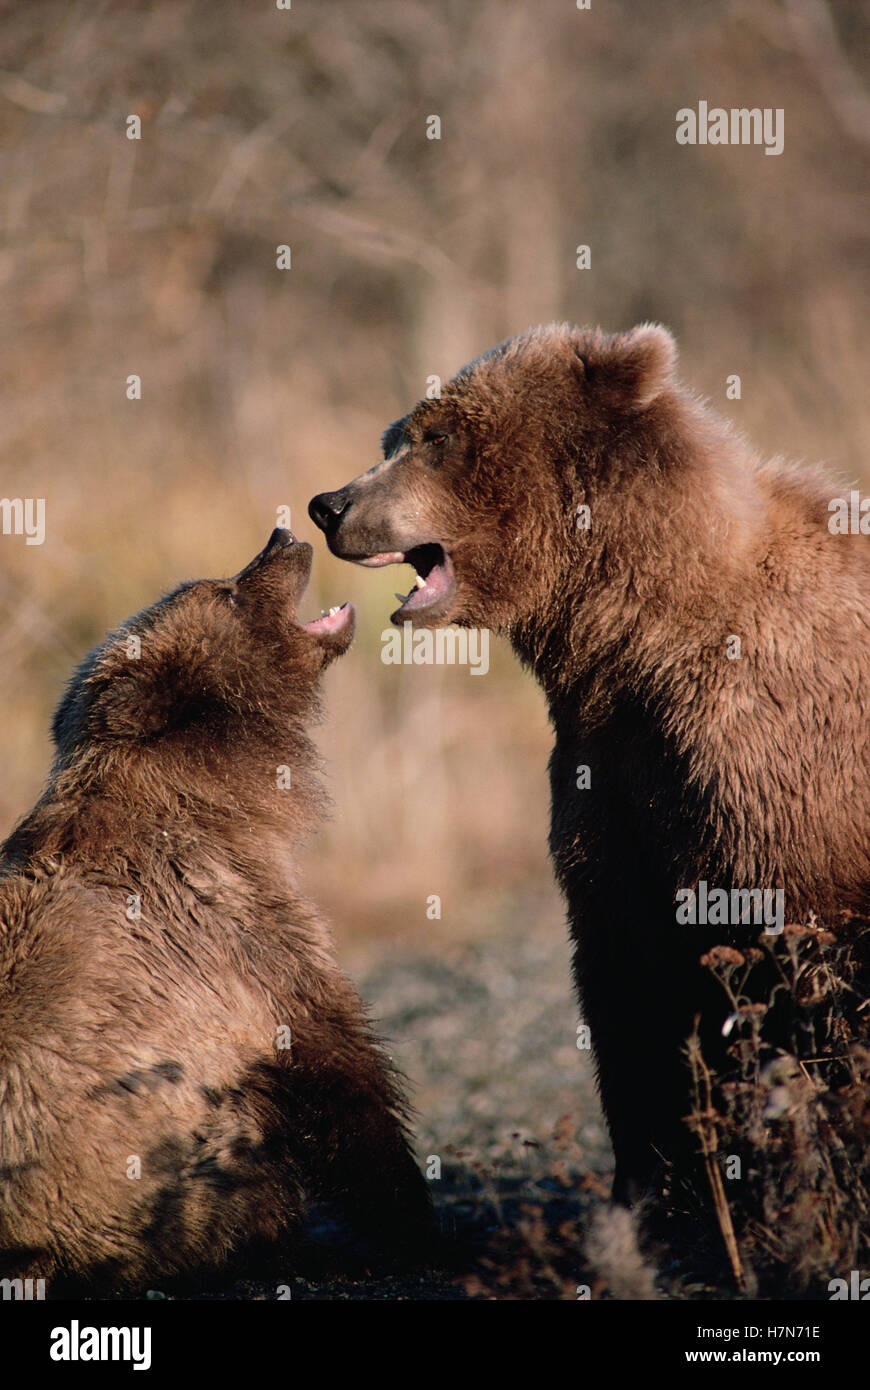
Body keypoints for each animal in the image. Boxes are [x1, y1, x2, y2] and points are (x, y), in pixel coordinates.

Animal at [309, 324, 870, 1205]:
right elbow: (630, 972)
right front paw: (660, 1182)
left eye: (437, 436)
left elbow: (809, 963)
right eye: (394, 435)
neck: (632, 634)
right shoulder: (616, 767)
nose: (330, 505)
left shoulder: (768, 759)